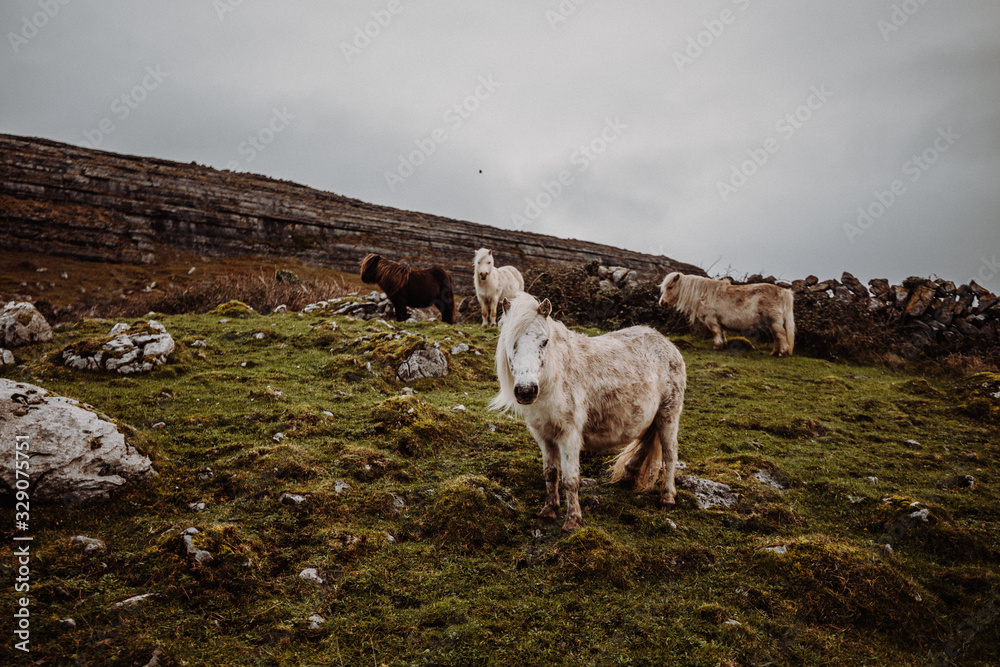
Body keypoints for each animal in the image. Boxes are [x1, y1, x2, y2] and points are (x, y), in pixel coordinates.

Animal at [490, 293, 686, 533]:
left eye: (544, 341)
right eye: (511, 343)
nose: (526, 391)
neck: (556, 378)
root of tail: (666, 343)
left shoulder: (569, 435)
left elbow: (570, 479)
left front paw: (572, 521)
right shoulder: (544, 436)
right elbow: (550, 473)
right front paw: (548, 511)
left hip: (668, 415)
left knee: (669, 453)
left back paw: (667, 498)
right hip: (651, 418)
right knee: (645, 443)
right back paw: (628, 475)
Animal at [658, 272, 795, 357]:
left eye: (670, 287)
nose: (662, 303)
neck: (704, 294)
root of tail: (782, 291)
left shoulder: (712, 320)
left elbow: (715, 332)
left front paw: (717, 347)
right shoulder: (720, 322)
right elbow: (722, 333)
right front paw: (723, 345)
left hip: (774, 322)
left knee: (781, 336)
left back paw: (782, 353)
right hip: (772, 324)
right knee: (777, 337)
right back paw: (774, 353)